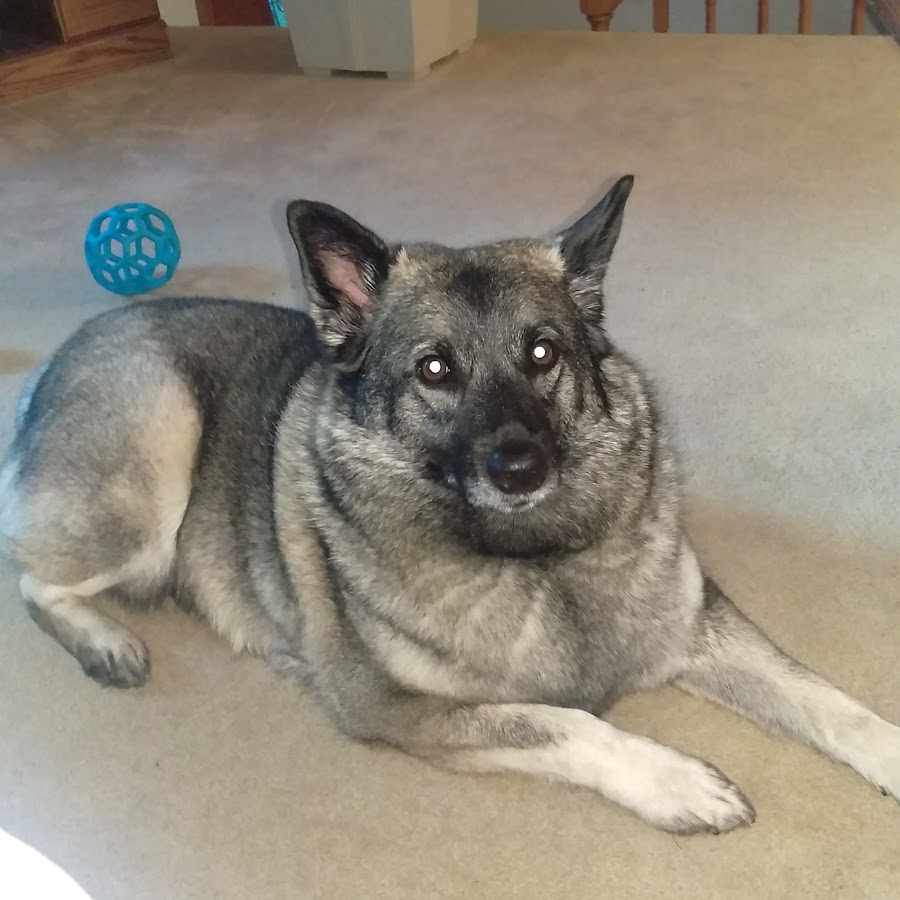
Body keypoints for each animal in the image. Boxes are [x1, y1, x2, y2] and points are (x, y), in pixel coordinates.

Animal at [1, 176, 897, 834]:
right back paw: (106, 642)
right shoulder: (401, 709)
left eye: (543, 352)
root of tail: (54, 361)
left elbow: (825, 699)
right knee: (35, 578)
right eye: (434, 369)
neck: (536, 555)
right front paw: (674, 780)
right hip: (153, 467)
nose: (520, 467)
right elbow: (571, 724)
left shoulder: (698, 622)